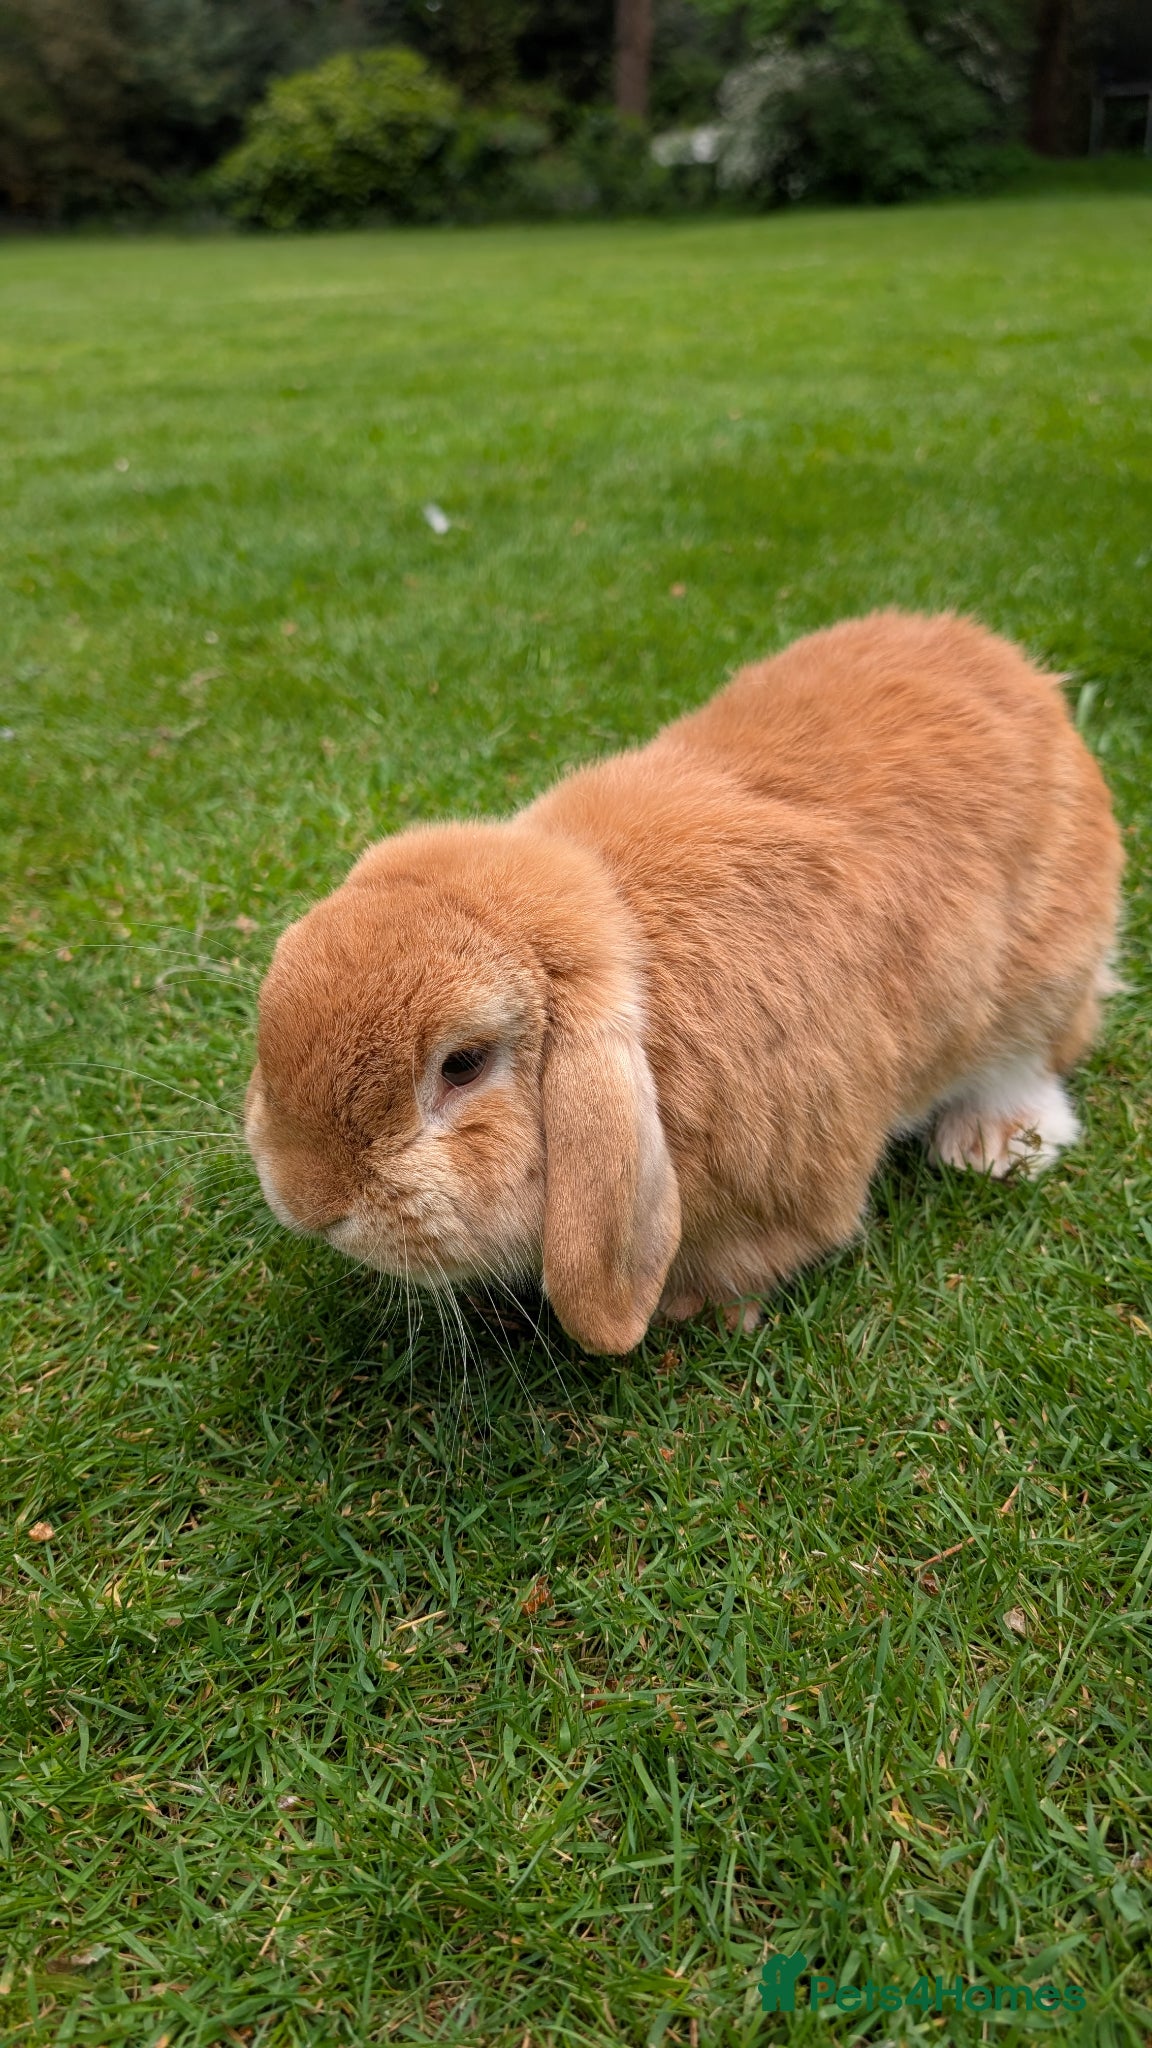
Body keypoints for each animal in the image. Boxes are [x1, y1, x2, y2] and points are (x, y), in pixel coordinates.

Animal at [245, 611, 1123, 1355]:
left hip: (1043, 982)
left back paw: (994, 1145)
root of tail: (1015, 668)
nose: (309, 1205)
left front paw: (688, 1310)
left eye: (462, 1065)